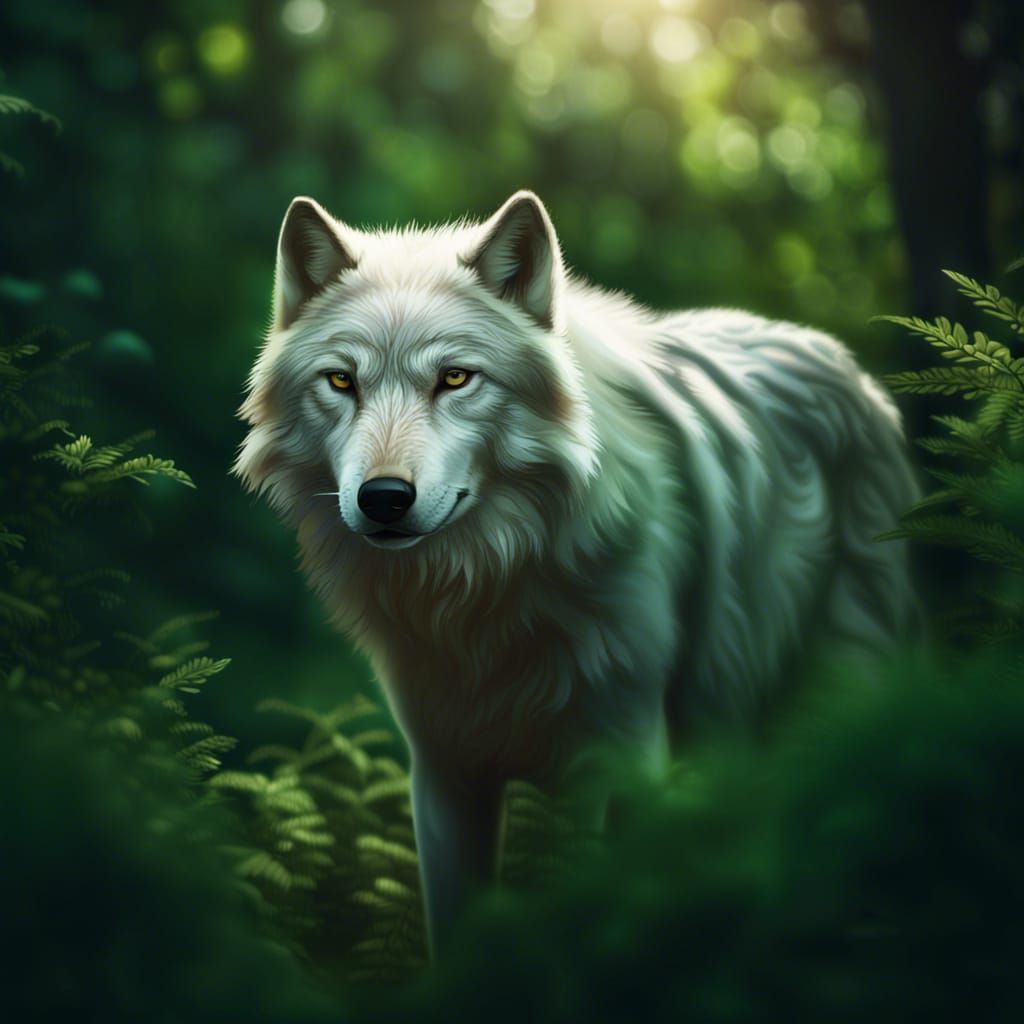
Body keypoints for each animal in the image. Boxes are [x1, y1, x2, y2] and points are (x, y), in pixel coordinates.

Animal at [234, 190, 919, 952]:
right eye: (341, 381)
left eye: (455, 378)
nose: (383, 498)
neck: (487, 593)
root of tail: (845, 363)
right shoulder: (444, 769)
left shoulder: (614, 760)